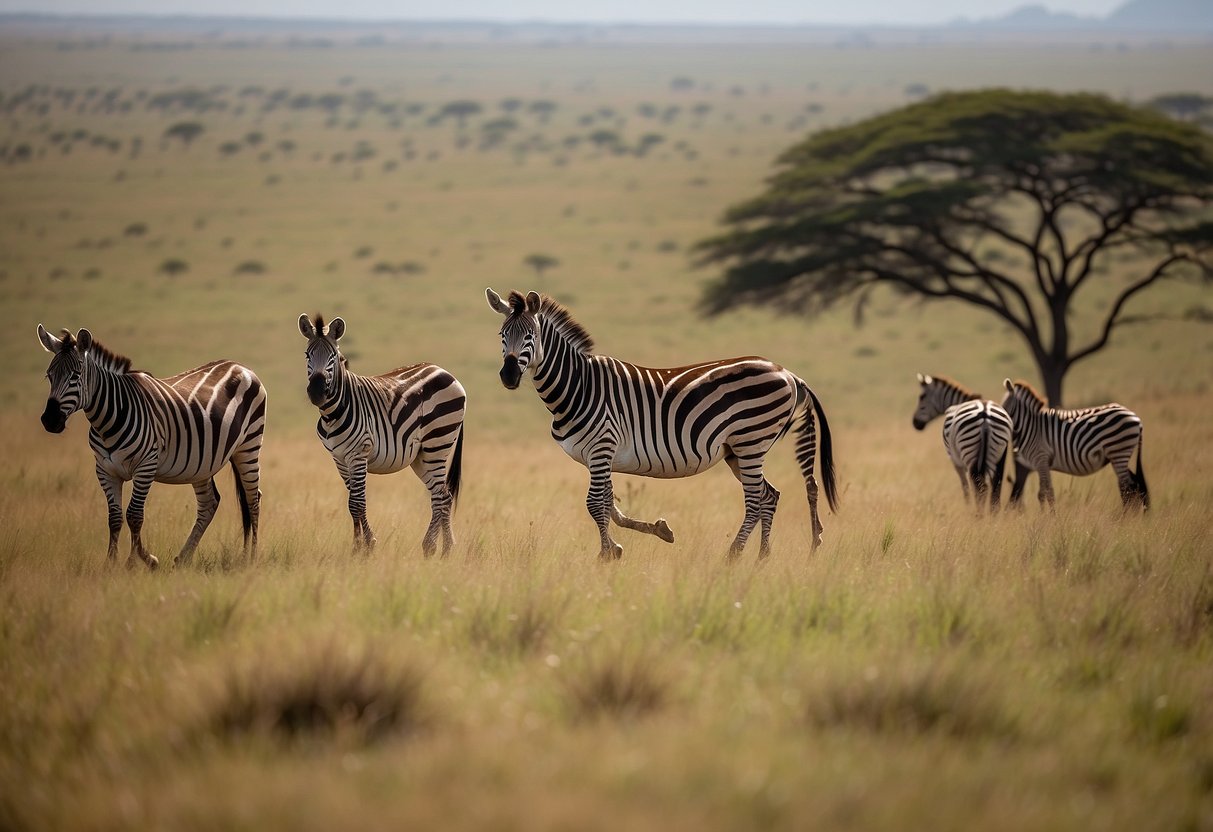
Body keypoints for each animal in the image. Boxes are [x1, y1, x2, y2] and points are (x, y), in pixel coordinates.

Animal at [36, 322, 266, 570]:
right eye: (49, 376)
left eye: (75, 376)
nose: (50, 420)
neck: (108, 420)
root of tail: (240, 365)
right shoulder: (105, 470)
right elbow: (114, 517)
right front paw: (111, 563)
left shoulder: (146, 465)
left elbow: (134, 515)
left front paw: (139, 562)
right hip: (201, 463)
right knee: (209, 503)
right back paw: (183, 558)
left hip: (249, 445)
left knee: (253, 500)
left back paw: (251, 559)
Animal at [297, 312, 463, 553]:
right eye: (307, 355)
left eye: (333, 357)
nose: (317, 392)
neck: (332, 413)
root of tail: (443, 370)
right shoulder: (339, 459)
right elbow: (352, 503)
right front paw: (359, 545)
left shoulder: (358, 453)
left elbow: (357, 503)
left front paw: (365, 547)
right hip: (421, 456)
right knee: (444, 495)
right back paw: (443, 549)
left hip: (438, 443)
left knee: (441, 496)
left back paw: (434, 547)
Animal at [482, 289, 834, 562]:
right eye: (502, 336)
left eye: (531, 336)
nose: (508, 376)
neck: (579, 387)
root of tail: (788, 373)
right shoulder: (600, 456)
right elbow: (609, 505)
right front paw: (654, 532)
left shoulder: (602, 446)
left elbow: (595, 504)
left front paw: (607, 554)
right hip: (738, 449)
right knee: (769, 496)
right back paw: (762, 557)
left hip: (751, 441)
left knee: (755, 501)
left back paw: (733, 556)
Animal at [912, 373, 1014, 514]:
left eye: (922, 397)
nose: (915, 423)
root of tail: (985, 413)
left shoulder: (956, 462)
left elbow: (966, 488)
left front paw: (968, 508)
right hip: (1000, 452)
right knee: (995, 486)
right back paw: (993, 514)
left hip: (969, 454)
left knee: (981, 488)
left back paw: (978, 515)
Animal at [994, 380, 1145, 511]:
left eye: (1004, 405)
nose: (999, 420)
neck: (1031, 426)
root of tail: (1135, 417)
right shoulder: (1041, 463)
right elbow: (1043, 493)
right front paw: (1045, 517)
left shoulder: (1041, 458)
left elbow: (1047, 492)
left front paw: (1049, 518)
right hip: (1119, 455)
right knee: (1132, 486)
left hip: (1119, 452)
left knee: (1127, 488)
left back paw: (1124, 518)